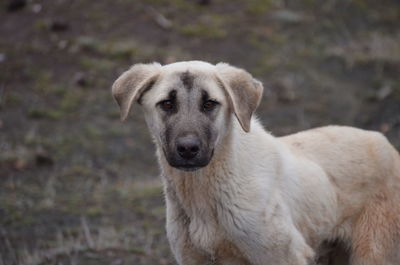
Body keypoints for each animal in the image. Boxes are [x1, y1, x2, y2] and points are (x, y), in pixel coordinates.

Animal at [111, 60, 400, 262]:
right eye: (167, 104)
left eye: (210, 104)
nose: (188, 149)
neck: (202, 196)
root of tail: (387, 144)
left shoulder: (285, 255)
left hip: (373, 252)